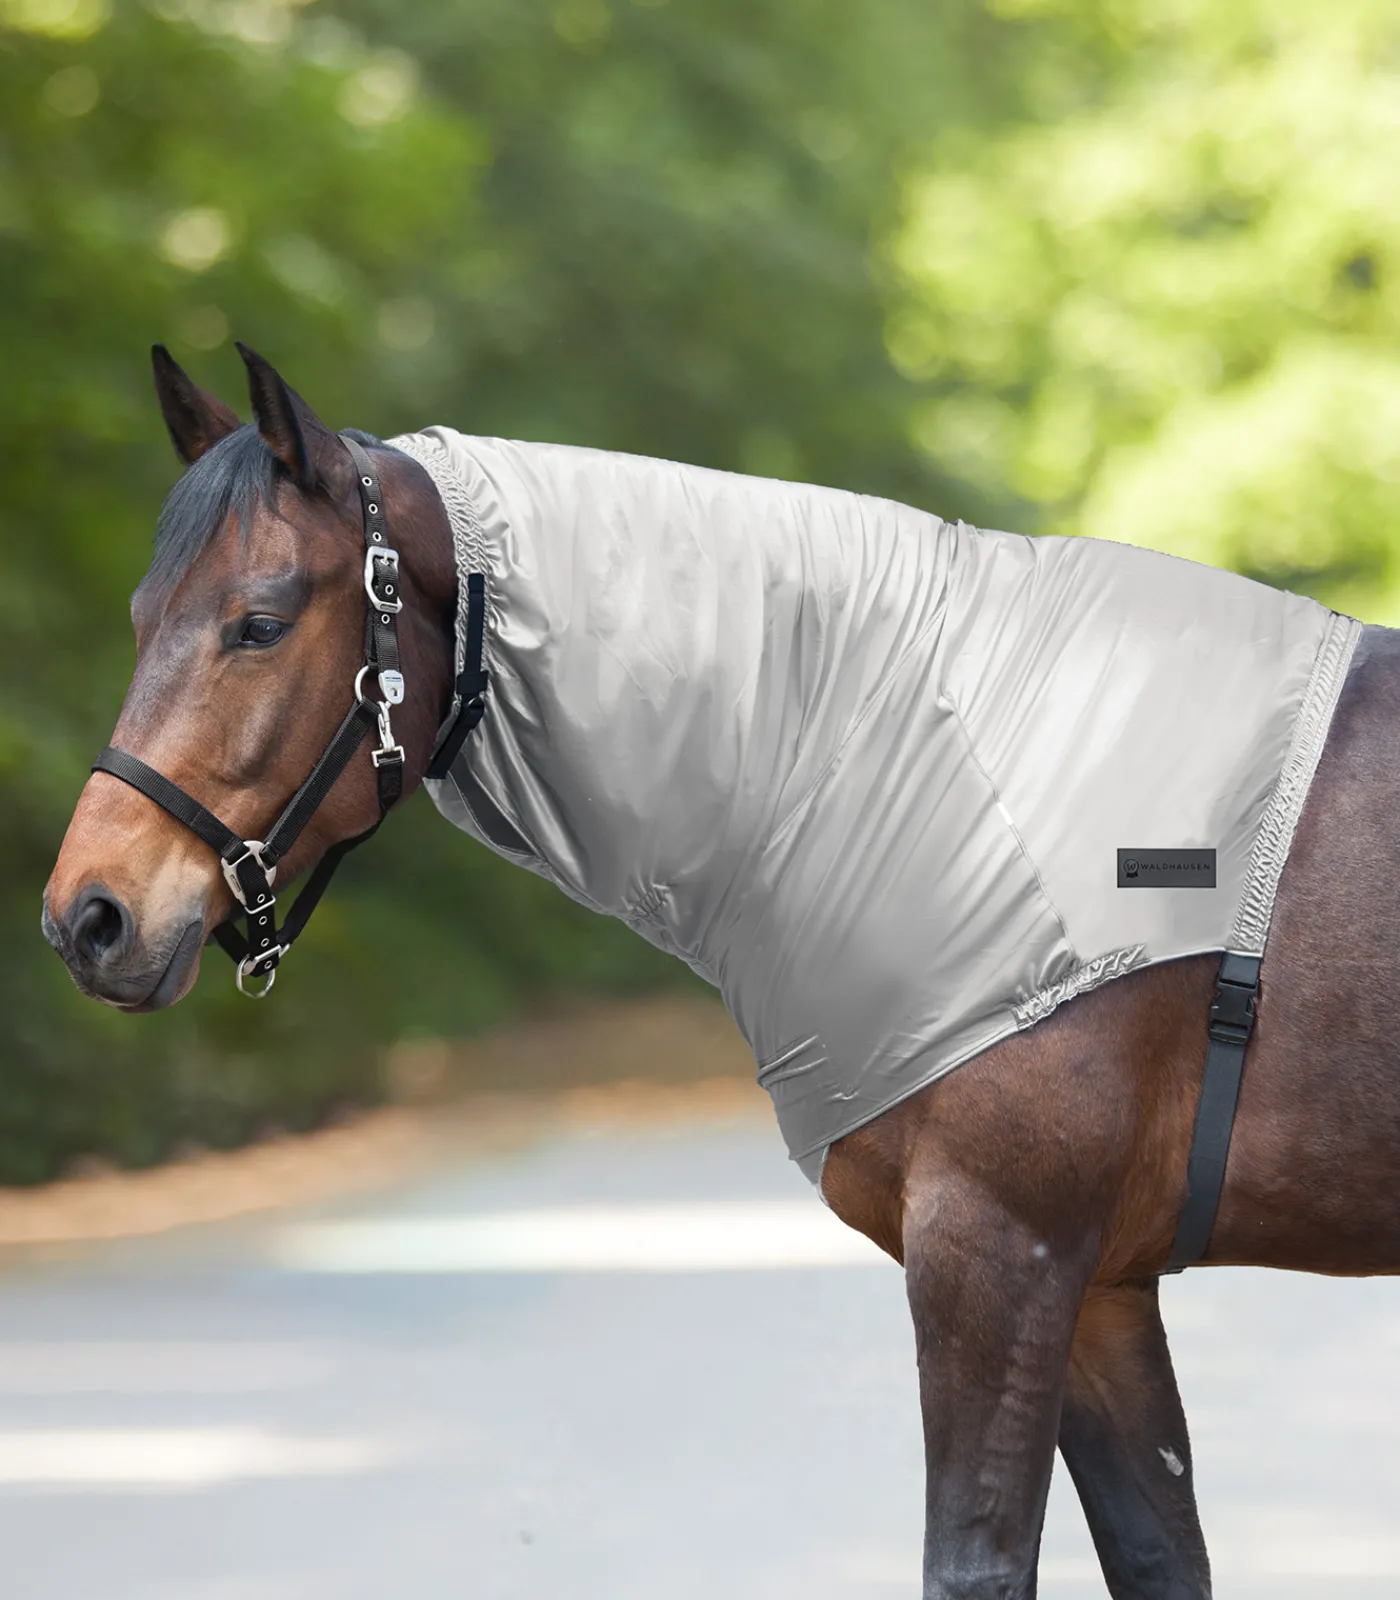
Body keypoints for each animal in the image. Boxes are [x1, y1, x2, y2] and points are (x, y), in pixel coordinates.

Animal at [42, 345, 1400, 1600]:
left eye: (260, 622)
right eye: (138, 617)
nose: (89, 916)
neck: (925, 749)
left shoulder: (999, 1256)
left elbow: (970, 1562)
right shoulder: (1101, 1287)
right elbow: (1160, 1556)